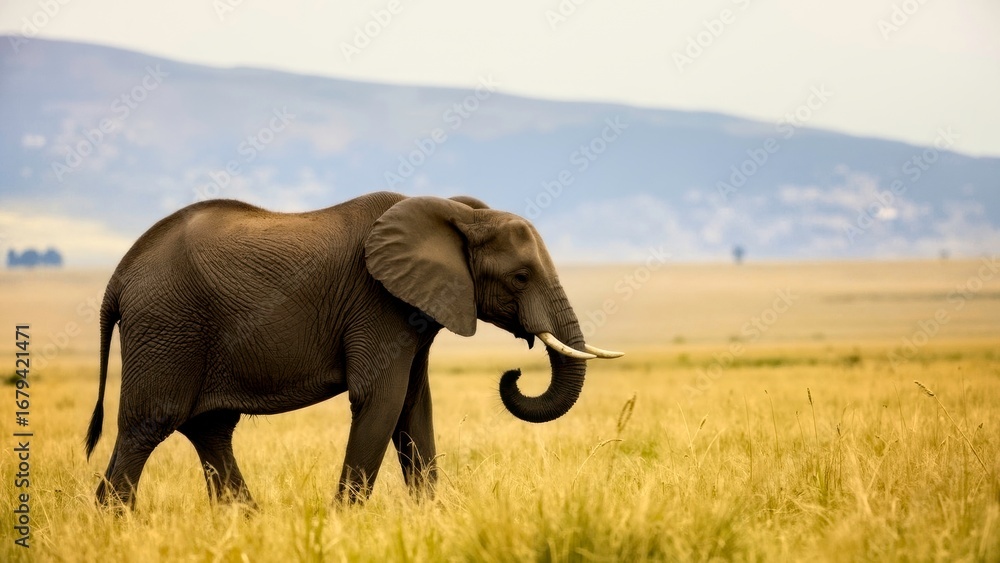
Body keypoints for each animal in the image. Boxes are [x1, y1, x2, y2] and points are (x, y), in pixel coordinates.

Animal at [85, 191, 622, 509]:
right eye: (520, 277)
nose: (514, 373)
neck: (460, 212)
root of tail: (118, 277)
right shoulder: (377, 304)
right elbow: (381, 401)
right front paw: (344, 522)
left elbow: (414, 408)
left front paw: (432, 518)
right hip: (167, 327)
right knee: (149, 425)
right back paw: (116, 522)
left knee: (210, 429)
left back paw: (246, 520)